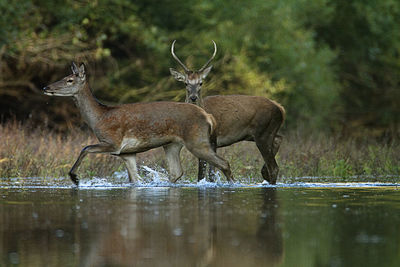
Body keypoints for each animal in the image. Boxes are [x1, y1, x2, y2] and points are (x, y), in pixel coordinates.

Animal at [42, 62, 233, 186]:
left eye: (69, 80)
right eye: (65, 77)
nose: (46, 87)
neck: (99, 118)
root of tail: (208, 116)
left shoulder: (113, 142)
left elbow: (85, 148)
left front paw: (75, 178)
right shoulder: (127, 153)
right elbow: (135, 180)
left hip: (197, 141)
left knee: (224, 163)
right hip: (172, 145)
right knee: (177, 171)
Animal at [169, 40, 284, 185]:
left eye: (201, 83)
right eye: (185, 83)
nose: (193, 97)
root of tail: (280, 108)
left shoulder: (211, 139)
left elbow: (205, 174)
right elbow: (208, 174)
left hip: (262, 133)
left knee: (274, 167)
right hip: (258, 133)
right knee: (279, 139)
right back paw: (264, 172)